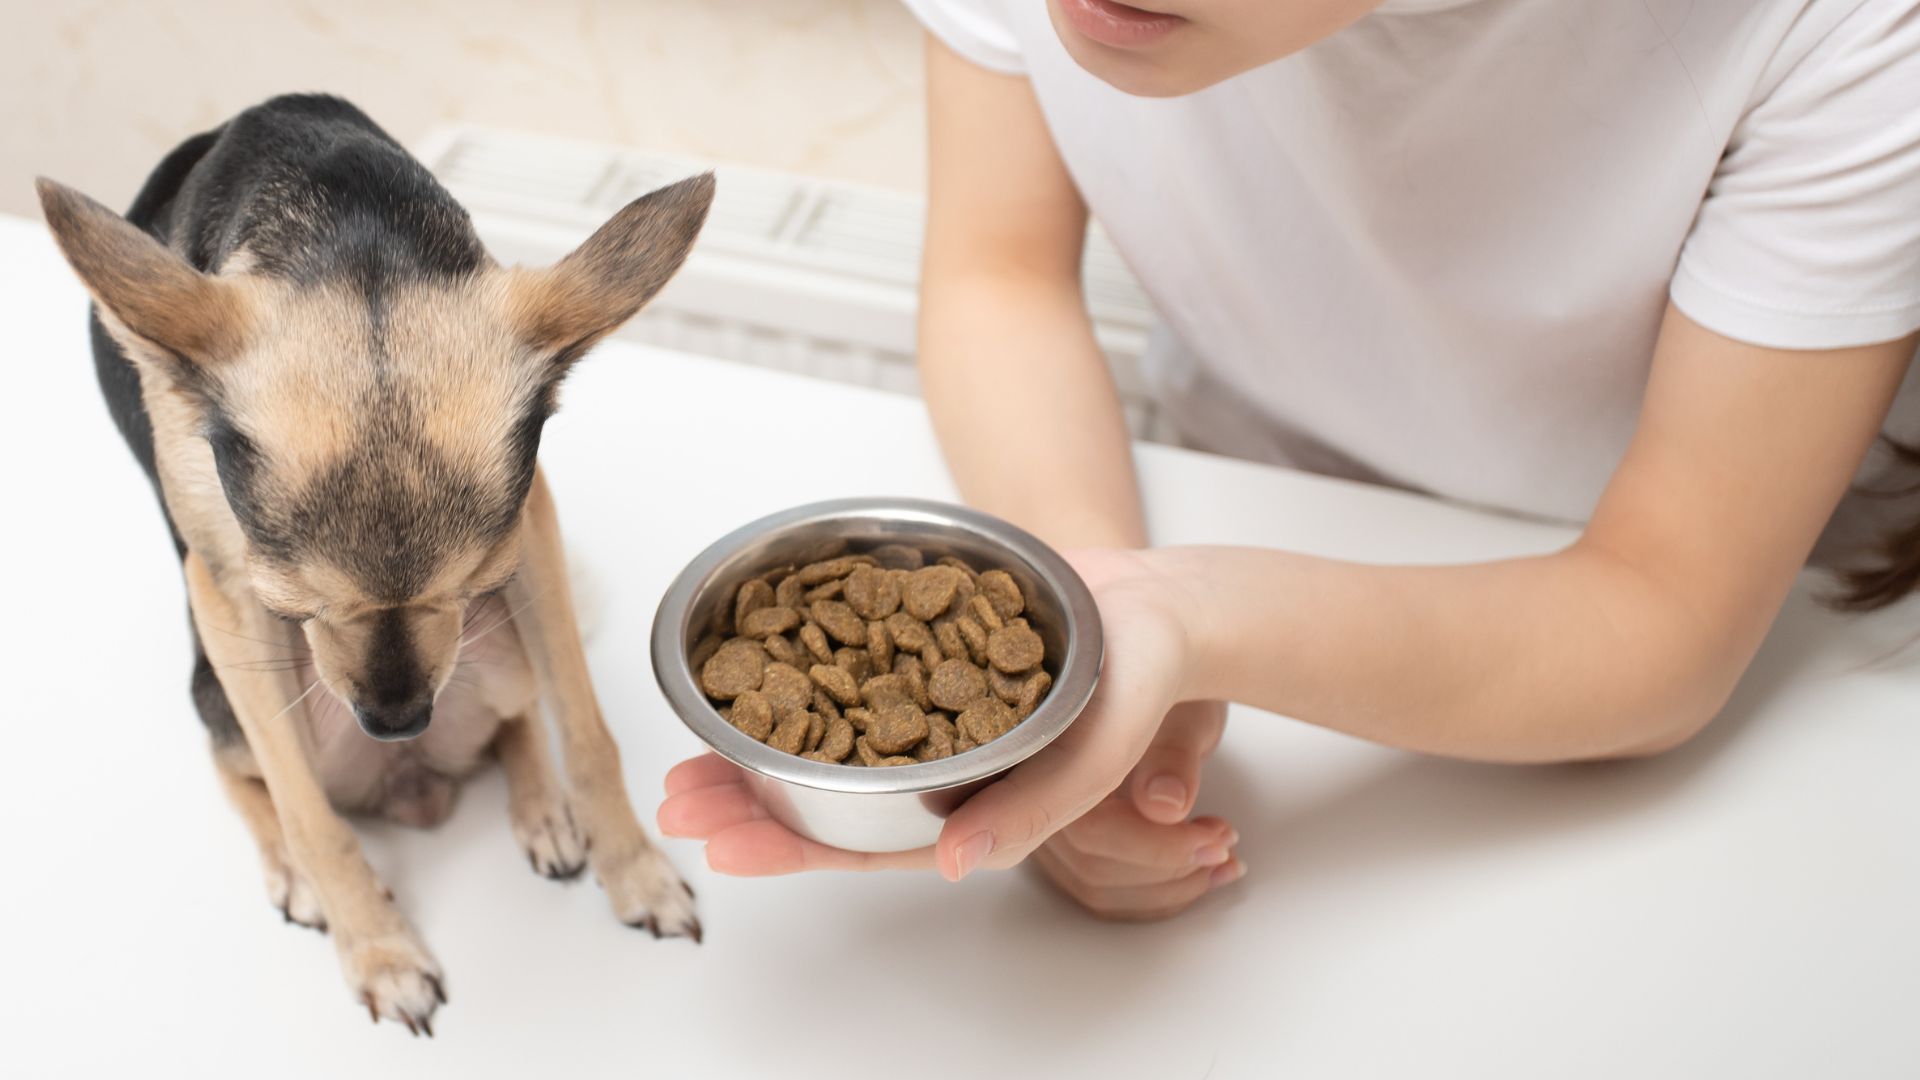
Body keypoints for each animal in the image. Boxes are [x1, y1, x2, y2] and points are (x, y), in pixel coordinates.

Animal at [35, 96, 714, 1030]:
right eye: (291, 603)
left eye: (476, 583)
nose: (398, 722)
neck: (348, 233)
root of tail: (413, 786)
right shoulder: (229, 592)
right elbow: (310, 815)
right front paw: (380, 952)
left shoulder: (530, 530)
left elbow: (586, 729)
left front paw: (634, 872)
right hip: (224, 689)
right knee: (242, 769)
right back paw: (291, 869)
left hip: (500, 654)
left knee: (519, 718)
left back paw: (543, 809)